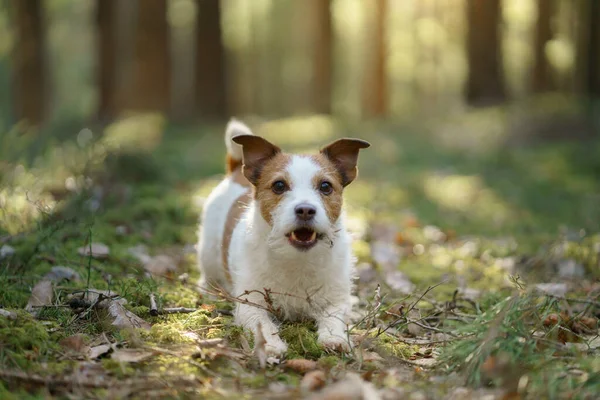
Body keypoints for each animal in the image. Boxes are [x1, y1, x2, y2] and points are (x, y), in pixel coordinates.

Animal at [197, 119, 370, 356]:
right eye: (279, 185)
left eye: (325, 186)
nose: (305, 210)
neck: (296, 259)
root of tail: (236, 172)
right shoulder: (250, 302)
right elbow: (262, 322)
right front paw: (270, 344)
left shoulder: (335, 299)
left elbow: (333, 318)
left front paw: (333, 338)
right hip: (208, 254)